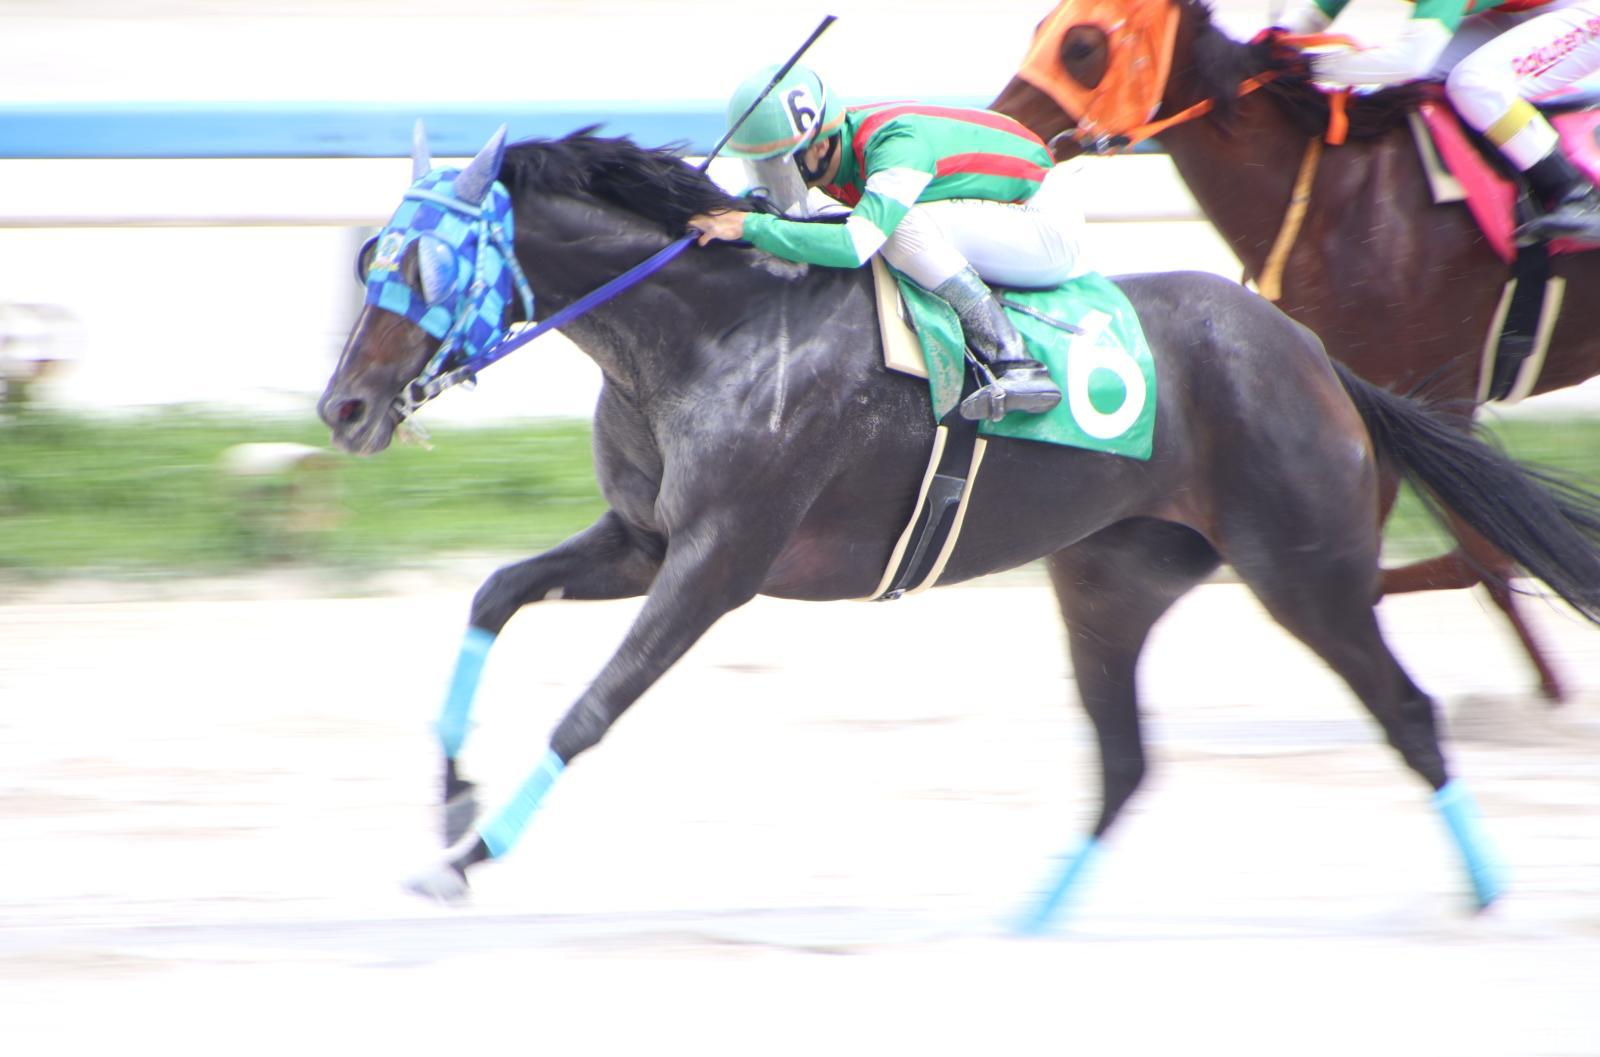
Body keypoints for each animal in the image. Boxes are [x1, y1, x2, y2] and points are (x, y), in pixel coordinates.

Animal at [318, 126, 1600, 927]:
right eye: (369, 254)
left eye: (417, 267)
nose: (343, 407)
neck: (707, 330)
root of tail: (1312, 355)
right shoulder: (641, 543)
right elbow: (492, 595)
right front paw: (453, 797)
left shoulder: (718, 563)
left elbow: (589, 709)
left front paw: (465, 859)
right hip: (1110, 581)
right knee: (1124, 762)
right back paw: (1026, 925)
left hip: (1306, 571)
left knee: (1409, 717)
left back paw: (1486, 896)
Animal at [989, 0, 1600, 702]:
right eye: (1041, 29)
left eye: (1082, 47)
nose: (1000, 125)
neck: (1343, 202)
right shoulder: (1365, 399)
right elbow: (1468, 560)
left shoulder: (1439, 396)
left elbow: (1465, 559)